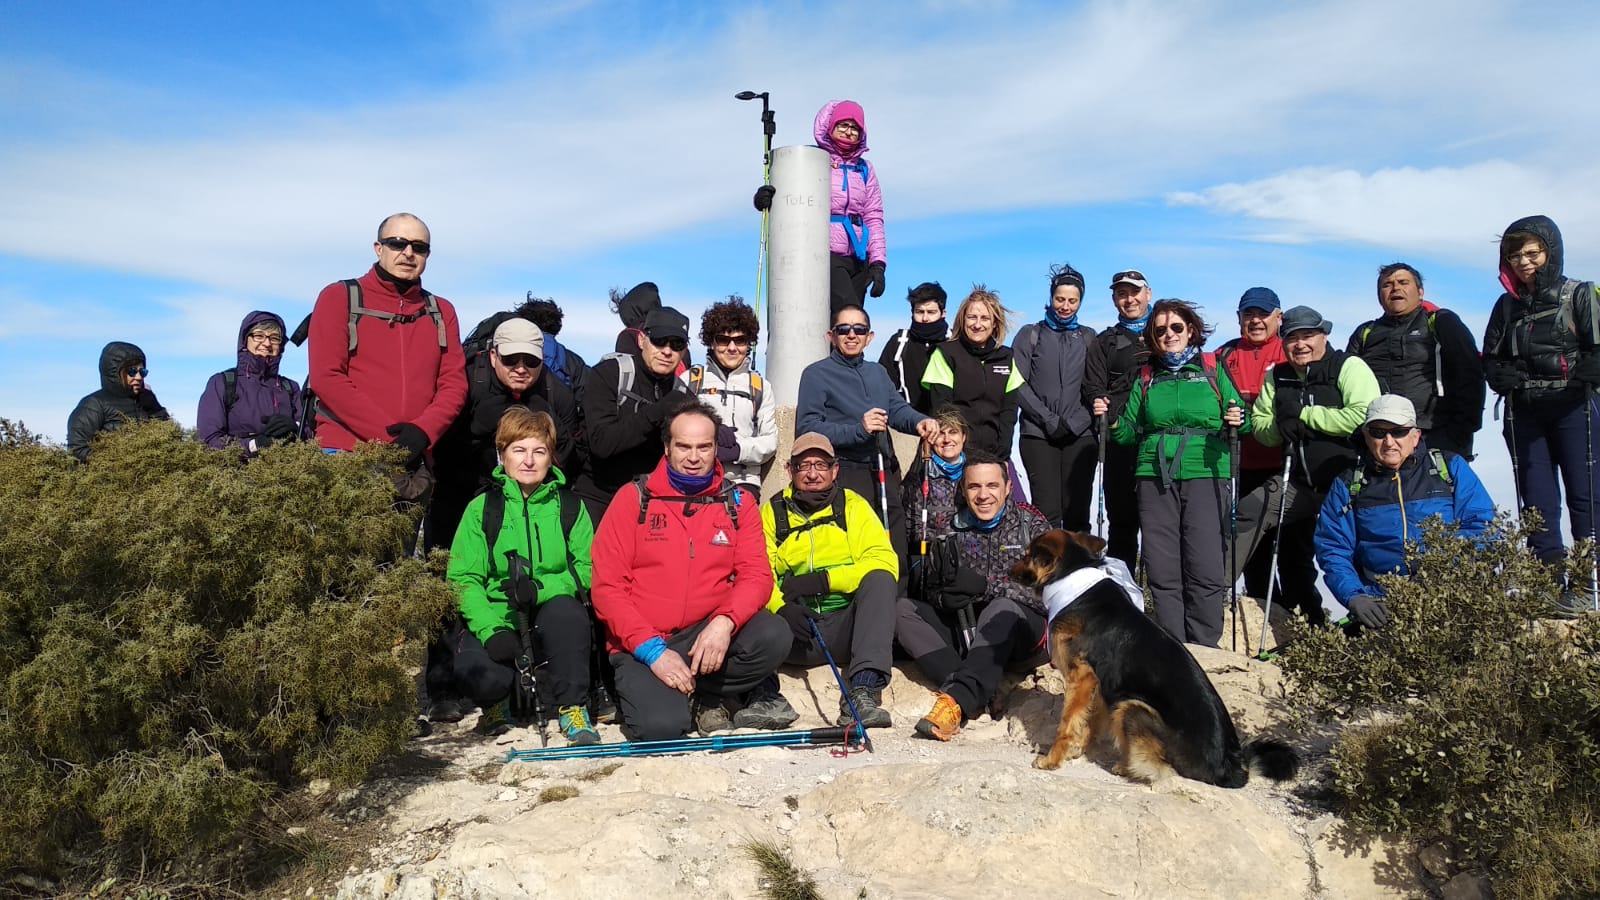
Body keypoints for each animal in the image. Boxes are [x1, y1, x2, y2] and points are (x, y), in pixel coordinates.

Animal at [1011, 528, 1299, 781]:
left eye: (1026, 555)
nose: (1007, 570)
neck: (1071, 576)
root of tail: (1231, 767)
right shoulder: (1101, 685)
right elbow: (1091, 721)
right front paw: (1077, 750)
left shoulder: (1080, 677)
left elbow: (1067, 724)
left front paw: (1052, 759)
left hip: (1132, 707)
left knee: (1163, 769)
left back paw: (1127, 767)